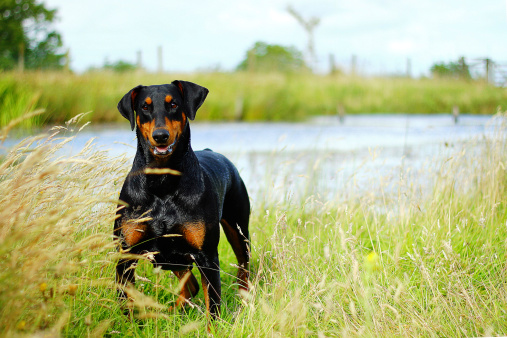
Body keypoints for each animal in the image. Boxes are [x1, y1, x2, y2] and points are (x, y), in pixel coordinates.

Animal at [114, 80, 251, 318]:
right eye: (145, 107)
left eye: (174, 104)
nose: (160, 135)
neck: (162, 184)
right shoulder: (125, 254)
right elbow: (126, 304)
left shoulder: (206, 255)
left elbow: (213, 305)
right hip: (170, 257)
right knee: (190, 286)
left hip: (238, 229)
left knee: (243, 269)